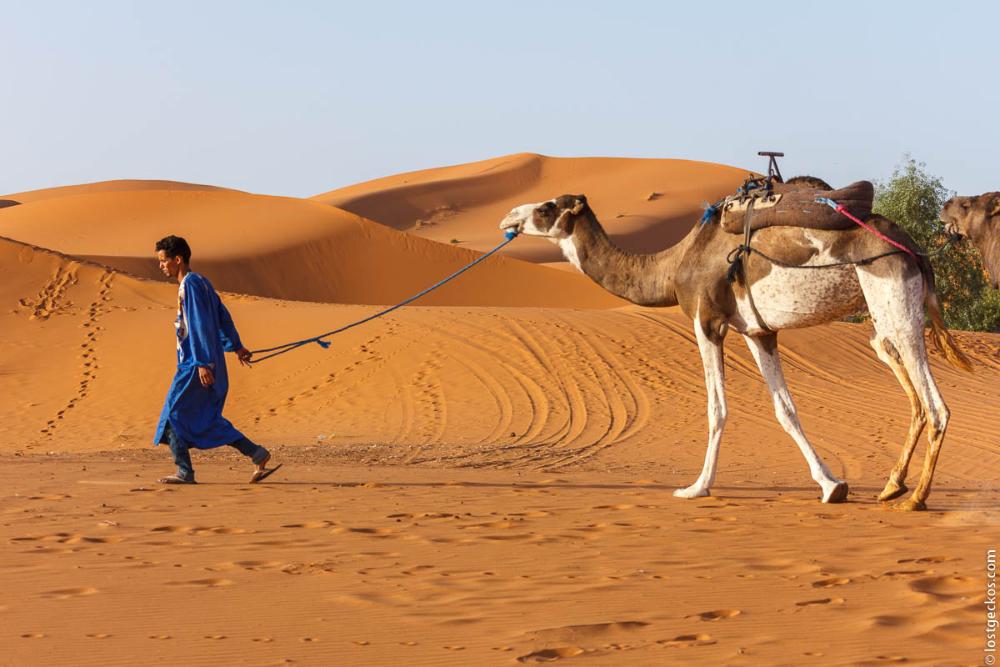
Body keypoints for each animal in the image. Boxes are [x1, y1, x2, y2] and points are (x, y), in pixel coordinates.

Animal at [500, 194, 971, 510]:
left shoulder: (706, 319)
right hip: (882, 323)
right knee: (912, 393)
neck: (672, 267)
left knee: (936, 405)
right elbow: (785, 409)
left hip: (893, 301)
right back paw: (892, 486)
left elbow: (717, 408)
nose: (509, 217)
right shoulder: (759, 331)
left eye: (546, 207)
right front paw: (832, 485)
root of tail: (916, 250)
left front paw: (696, 486)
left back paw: (916, 498)